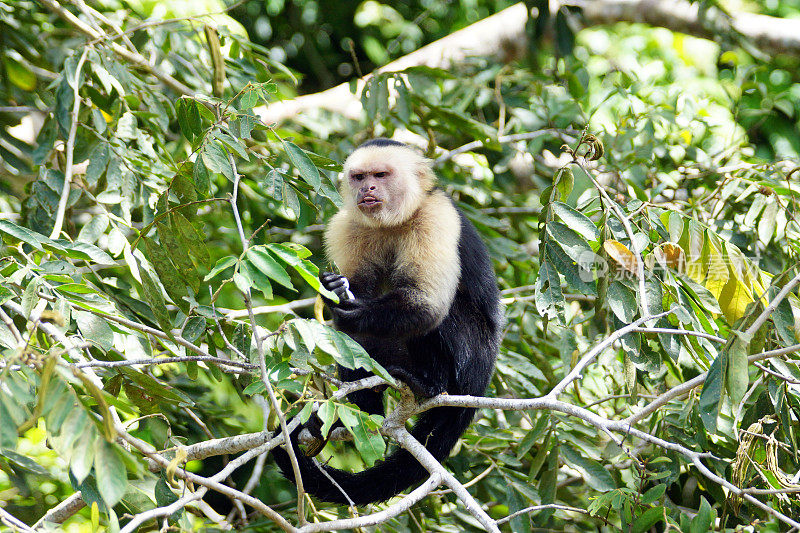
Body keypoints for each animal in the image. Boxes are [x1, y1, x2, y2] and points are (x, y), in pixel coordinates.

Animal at [272, 136, 504, 502]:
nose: (367, 187)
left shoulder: (436, 218)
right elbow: (356, 294)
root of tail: (482, 380)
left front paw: (353, 309)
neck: (394, 221)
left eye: (381, 175)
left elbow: (426, 305)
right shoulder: (346, 225)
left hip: (471, 363)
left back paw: (429, 385)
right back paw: (361, 412)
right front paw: (335, 290)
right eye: (359, 176)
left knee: (443, 318)